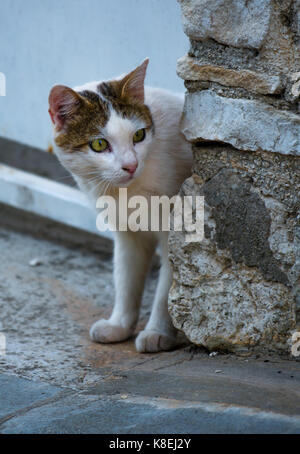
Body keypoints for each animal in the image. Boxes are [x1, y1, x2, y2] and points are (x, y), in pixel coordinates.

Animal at [48, 59, 191, 352]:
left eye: (139, 135)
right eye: (99, 144)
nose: (131, 165)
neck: (127, 194)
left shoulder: (175, 233)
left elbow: (168, 288)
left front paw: (157, 332)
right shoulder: (127, 235)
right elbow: (126, 279)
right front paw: (119, 325)